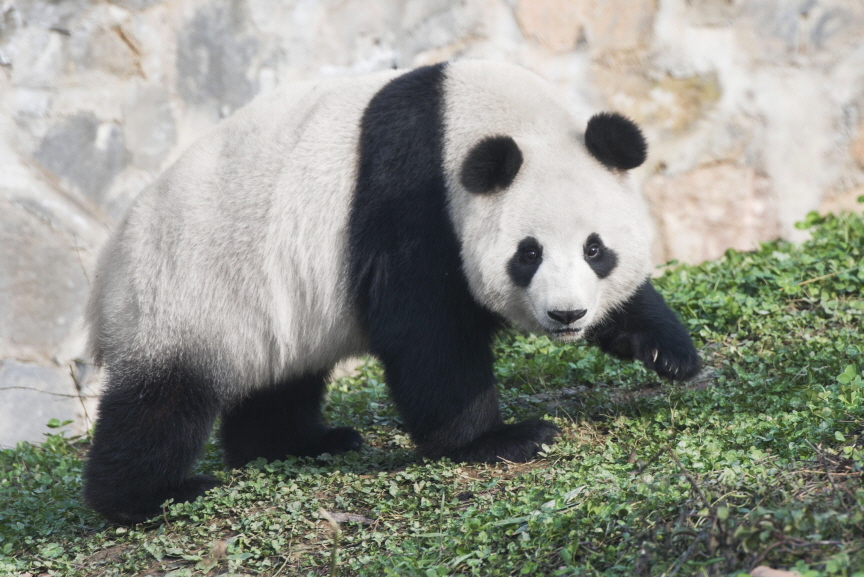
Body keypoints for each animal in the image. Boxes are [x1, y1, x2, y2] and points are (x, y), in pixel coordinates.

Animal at [82, 59, 704, 520]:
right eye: (528, 254)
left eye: (595, 250)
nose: (567, 315)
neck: (462, 118)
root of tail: (106, 270)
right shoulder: (412, 203)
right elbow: (426, 333)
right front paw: (500, 439)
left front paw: (669, 351)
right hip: (183, 291)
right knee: (162, 403)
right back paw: (148, 497)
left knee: (280, 380)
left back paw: (302, 444)